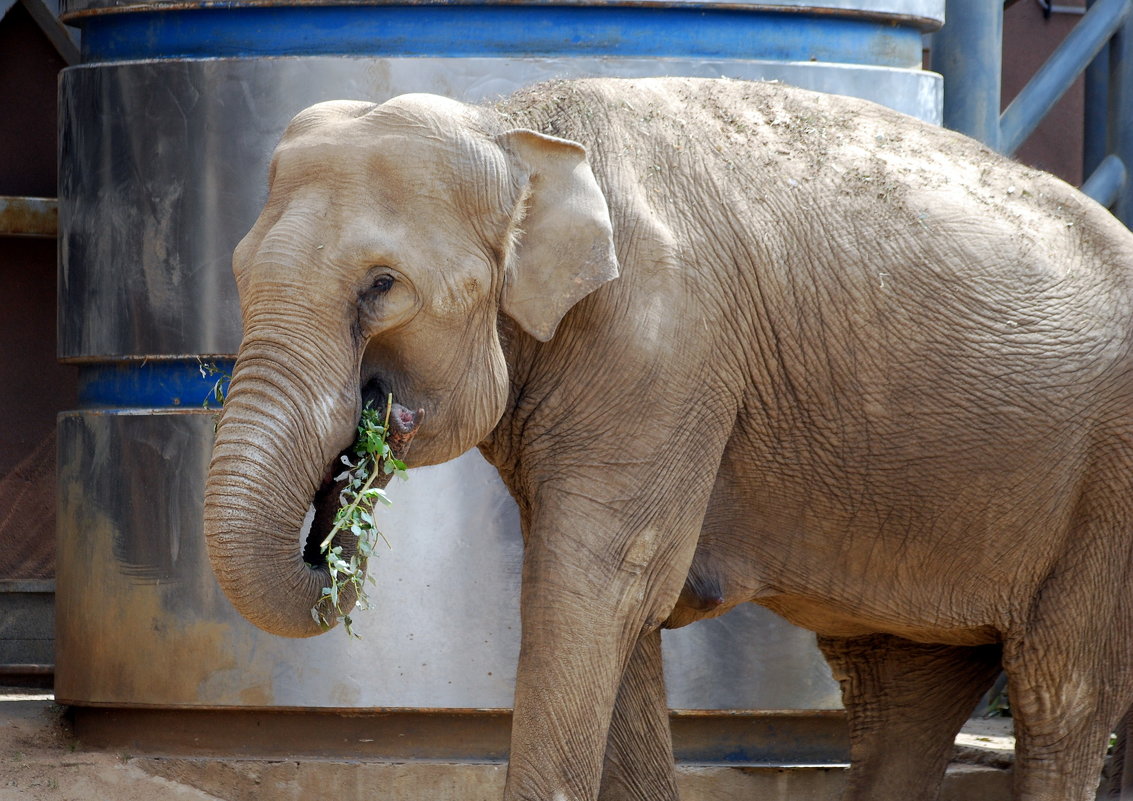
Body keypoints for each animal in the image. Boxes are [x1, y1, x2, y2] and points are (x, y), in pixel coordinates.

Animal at [201, 77, 1133, 801]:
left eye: (382, 286)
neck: (509, 126)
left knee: (1059, 689)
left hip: (1109, 482)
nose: (366, 441)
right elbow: (618, 608)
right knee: (900, 696)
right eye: (238, 273)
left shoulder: (664, 341)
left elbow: (597, 585)